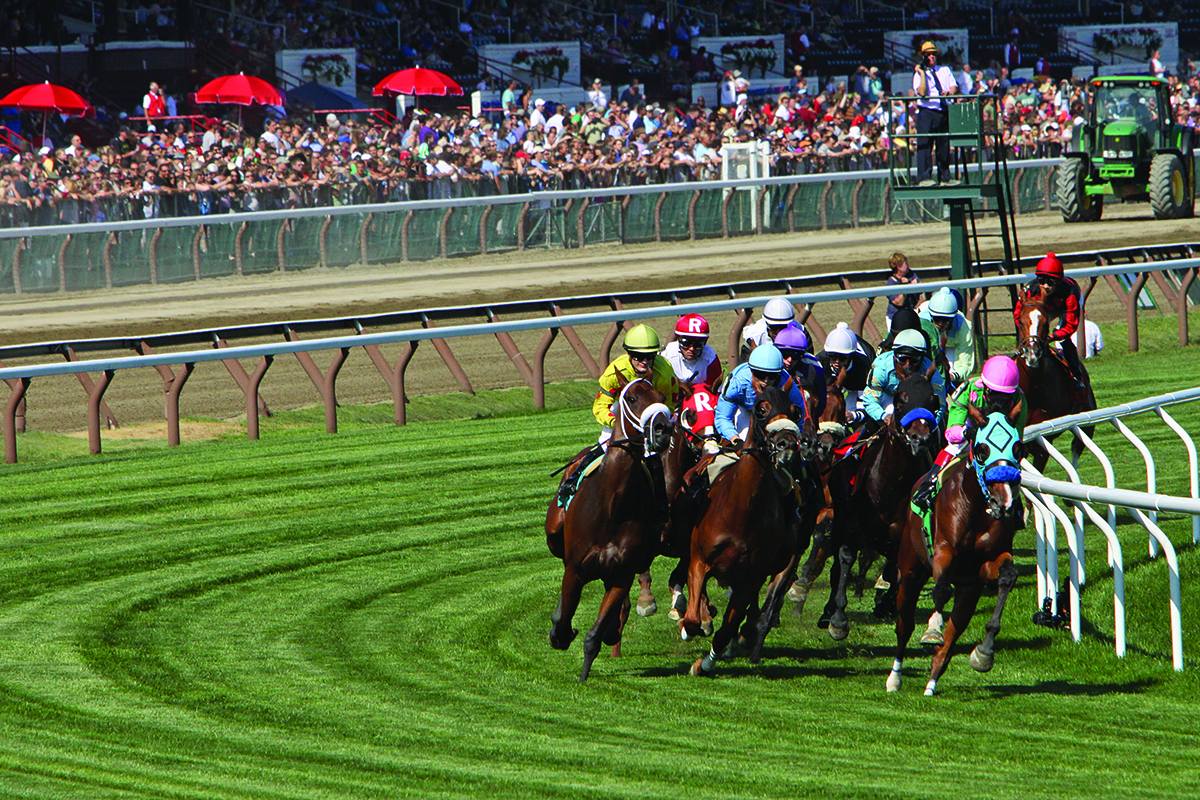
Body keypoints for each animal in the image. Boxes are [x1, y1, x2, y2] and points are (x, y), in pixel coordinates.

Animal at [547, 376, 672, 681]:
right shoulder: (575, 570)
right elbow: (564, 620)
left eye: (662, 397)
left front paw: (584, 676)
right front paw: (559, 631)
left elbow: (594, 635)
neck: (612, 506)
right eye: (632, 399)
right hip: (554, 532)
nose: (663, 430)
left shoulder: (621, 575)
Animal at [681, 383, 801, 676]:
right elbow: (692, 617)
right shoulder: (699, 560)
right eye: (760, 408)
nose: (787, 445)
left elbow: (728, 628)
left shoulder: (751, 576)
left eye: (794, 410)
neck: (740, 510)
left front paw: (705, 663)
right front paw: (694, 625)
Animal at [888, 412, 1027, 695]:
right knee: (905, 624)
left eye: (1017, 449)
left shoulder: (983, 568)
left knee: (951, 638)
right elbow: (941, 589)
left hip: (968, 592)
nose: (1005, 503)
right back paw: (894, 678)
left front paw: (984, 653)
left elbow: (1008, 575)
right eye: (983, 450)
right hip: (909, 570)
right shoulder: (944, 551)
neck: (976, 507)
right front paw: (932, 630)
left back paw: (932, 683)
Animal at [1017, 293, 1094, 470]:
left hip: (1087, 421)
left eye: (1045, 322)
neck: (1033, 389)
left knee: (1077, 447)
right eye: (1021, 321)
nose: (1032, 353)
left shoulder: (1043, 440)